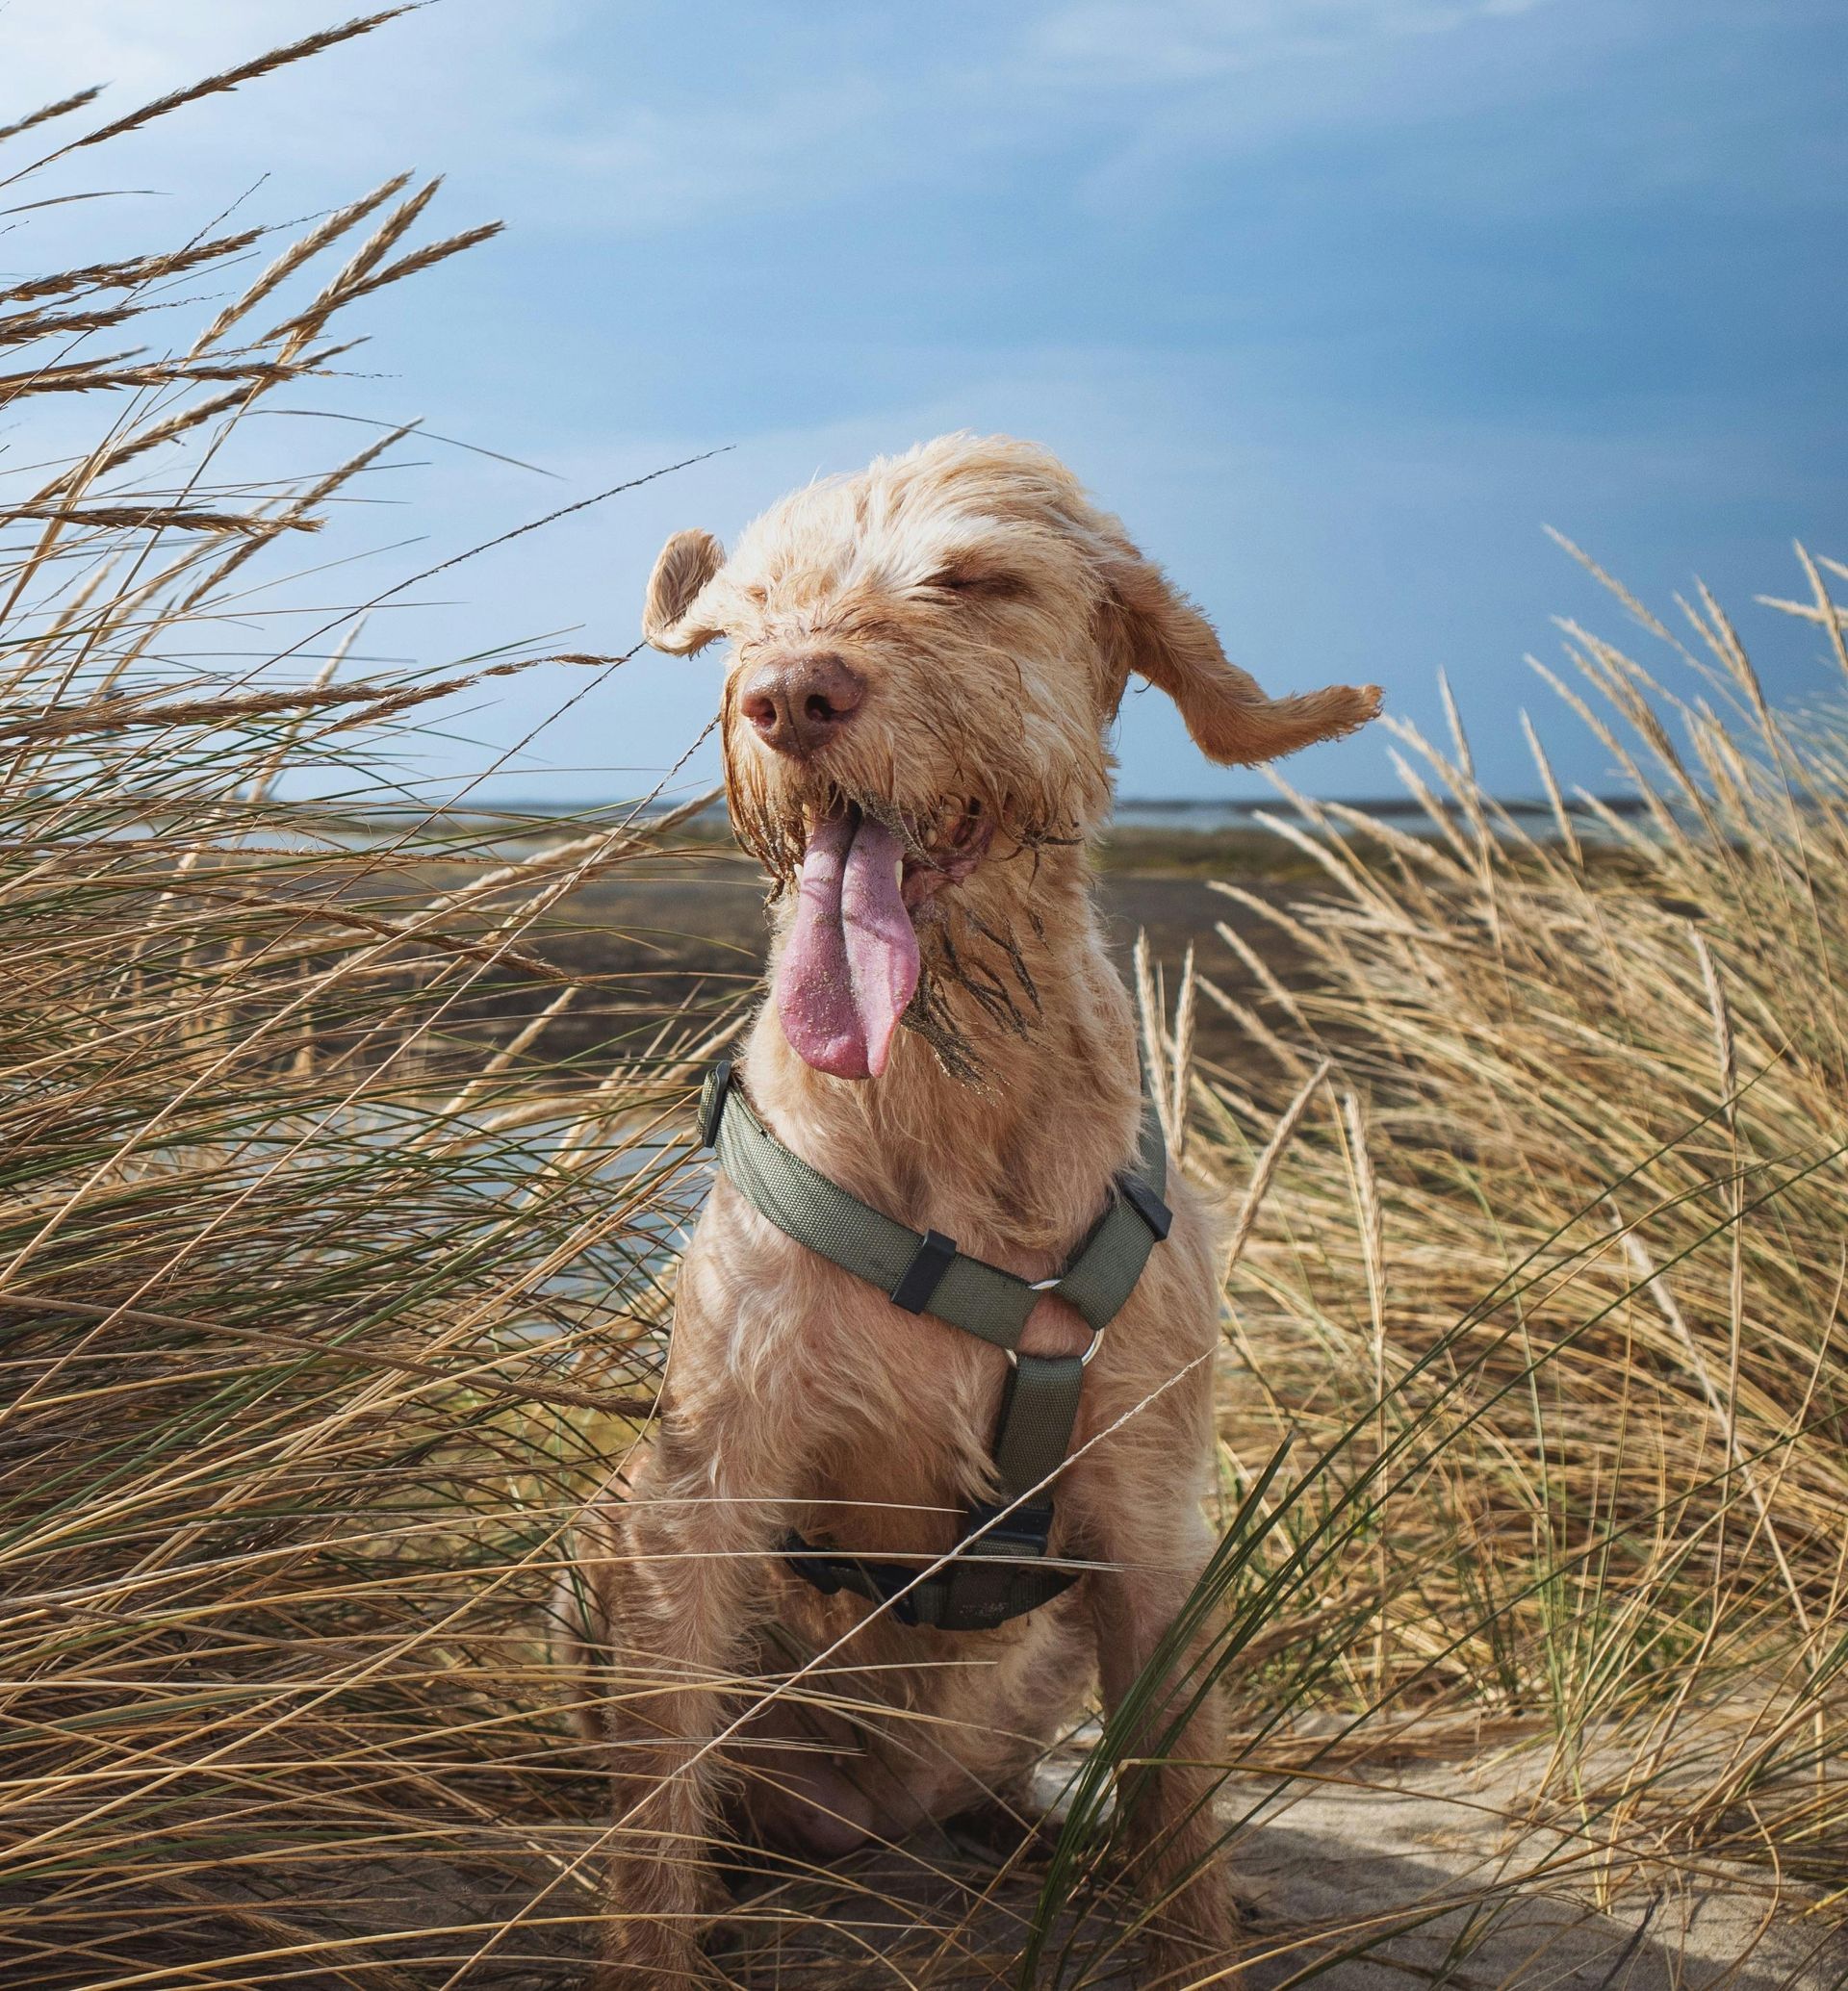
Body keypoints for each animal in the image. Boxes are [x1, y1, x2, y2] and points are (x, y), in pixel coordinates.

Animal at [561, 427, 1370, 1982]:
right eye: (755, 606)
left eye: (976, 580)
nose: (790, 695)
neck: (945, 1096)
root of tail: (866, 1819)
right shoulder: (701, 1488)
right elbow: (654, 1813)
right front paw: (656, 1944)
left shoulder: (1151, 1521)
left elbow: (1180, 1800)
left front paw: (1195, 1928)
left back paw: (1045, 1835)